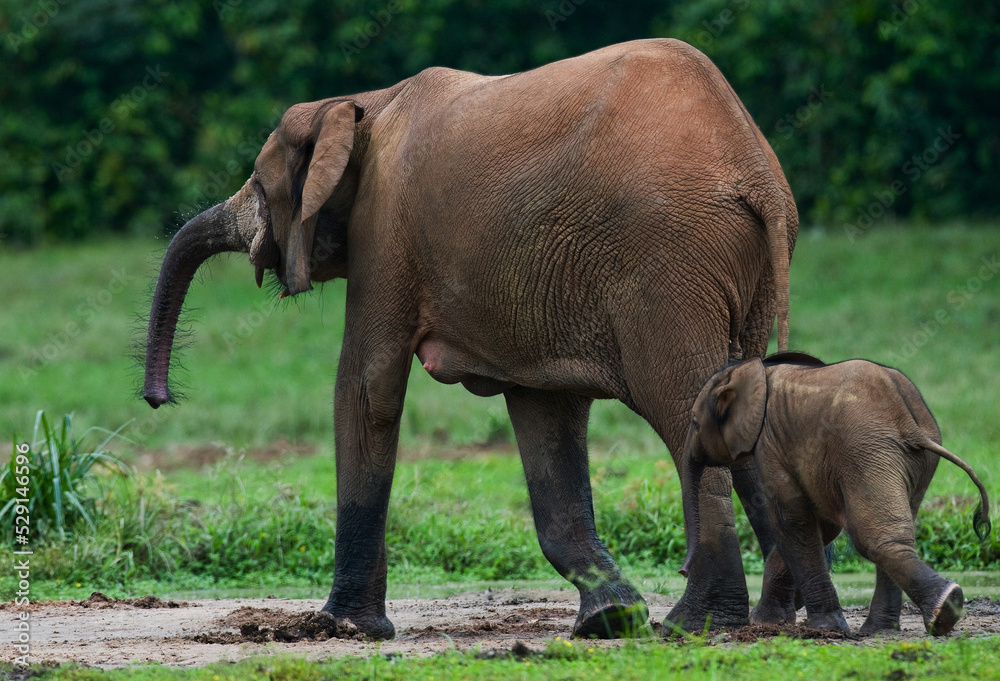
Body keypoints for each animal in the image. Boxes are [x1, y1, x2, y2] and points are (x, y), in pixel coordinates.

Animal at [142, 38, 799, 639]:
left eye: (258, 182)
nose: (158, 398)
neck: (360, 104)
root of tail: (756, 174)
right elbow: (543, 415)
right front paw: (610, 620)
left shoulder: (385, 227)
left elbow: (367, 389)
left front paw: (341, 627)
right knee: (742, 408)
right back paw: (774, 620)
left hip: (665, 264)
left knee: (691, 411)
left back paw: (697, 624)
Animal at [679, 353, 992, 636]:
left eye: (694, 422)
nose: (682, 572)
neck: (755, 372)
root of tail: (908, 422)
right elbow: (819, 526)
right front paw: (768, 623)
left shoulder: (771, 444)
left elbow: (792, 521)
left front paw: (818, 628)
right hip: (909, 460)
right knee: (895, 531)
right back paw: (885, 629)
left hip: (865, 449)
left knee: (871, 536)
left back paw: (940, 612)